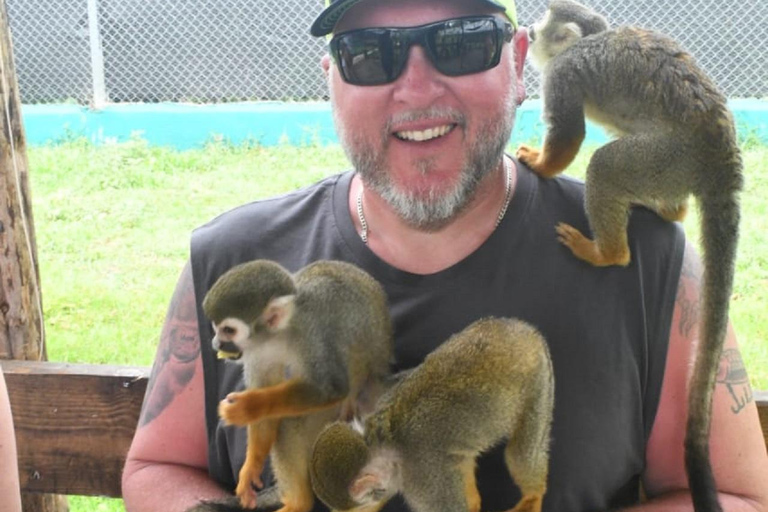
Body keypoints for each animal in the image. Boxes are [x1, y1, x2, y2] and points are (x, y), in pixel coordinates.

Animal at [196, 259, 394, 512]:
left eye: (228, 330)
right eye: (216, 328)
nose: (216, 344)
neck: (279, 334)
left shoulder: (312, 333)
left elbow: (329, 388)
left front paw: (248, 406)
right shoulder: (257, 350)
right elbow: (266, 411)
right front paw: (251, 468)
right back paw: (297, 503)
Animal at [309, 317, 555, 512]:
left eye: (363, 503)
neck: (384, 444)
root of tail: (522, 331)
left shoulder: (423, 477)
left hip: (538, 380)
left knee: (521, 452)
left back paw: (533, 496)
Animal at [515, 2, 743, 511]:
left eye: (538, 32)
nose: (528, 32)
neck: (587, 40)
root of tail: (721, 150)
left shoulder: (564, 72)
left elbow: (570, 133)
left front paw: (540, 163)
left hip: (674, 155)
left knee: (606, 163)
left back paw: (608, 253)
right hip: (675, 165)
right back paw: (670, 209)